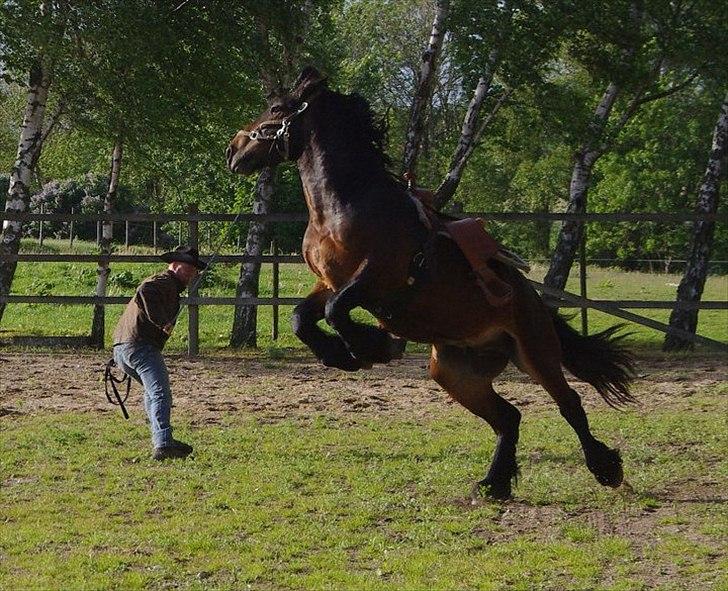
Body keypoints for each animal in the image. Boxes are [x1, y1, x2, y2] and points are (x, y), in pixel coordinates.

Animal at [225, 67, 636, 500]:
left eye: (275, 108)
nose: (233, 149)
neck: (345, 205)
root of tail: (535, 301)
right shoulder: (329, 282)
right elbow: (301, 319)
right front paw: (343, 353)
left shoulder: (376, 277)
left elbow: (337, 312)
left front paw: (371, 346)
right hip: (454, 372)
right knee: (508, 416)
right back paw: (494, 484)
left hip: (535, 352)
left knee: (569, 403)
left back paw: (605, 468)